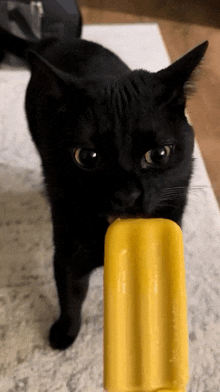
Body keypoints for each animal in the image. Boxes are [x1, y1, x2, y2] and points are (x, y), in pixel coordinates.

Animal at [0, 26, 208, 350]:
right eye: (86, 157)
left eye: (158, 154)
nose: (126, 194)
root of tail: (57, 40)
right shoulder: (68, 251)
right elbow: (70, 295)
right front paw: (65, 334)